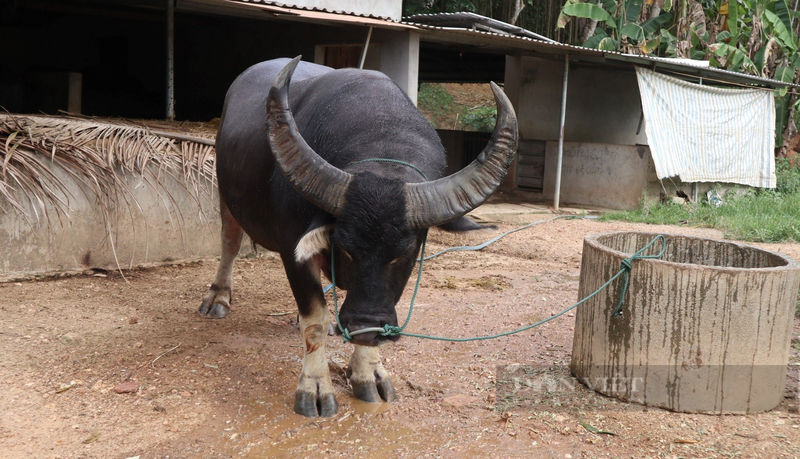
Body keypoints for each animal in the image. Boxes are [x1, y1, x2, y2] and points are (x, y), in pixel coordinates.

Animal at [197, 56, 516, 416]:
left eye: (404, 253)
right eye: (345, 247)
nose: (364, 324)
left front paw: (368, 373)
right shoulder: (293, 248)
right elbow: (314, 319)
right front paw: (314, 388)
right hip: (225, 195)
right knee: (230, 240)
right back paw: (218, 297)